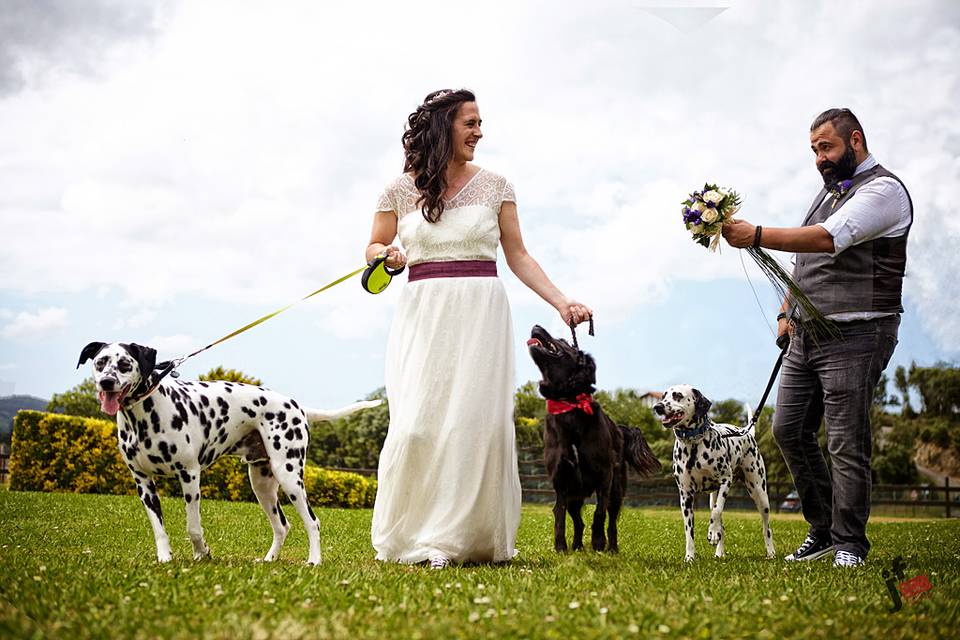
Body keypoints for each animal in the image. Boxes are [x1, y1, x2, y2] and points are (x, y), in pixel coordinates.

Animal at [78, 340, 378, 564]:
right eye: (100, 362)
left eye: (124, 364)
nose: (106, 382)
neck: (145, 415)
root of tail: (298, 406)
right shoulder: (143, 484)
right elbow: (158, 528)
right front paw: (165, 558)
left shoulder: (190, 476)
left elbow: (193, 527)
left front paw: (202, 553)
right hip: (262, 485)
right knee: (282, 525)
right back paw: (269, 560)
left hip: (289, 475)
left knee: (312, 522)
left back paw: (314, 561)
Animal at [524, 324, 660, 552]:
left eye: (563, 340)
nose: (535, 326)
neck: (569, 403)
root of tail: (620, 429)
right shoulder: (561, 481)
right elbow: (559, 516)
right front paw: (561, 548)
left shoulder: (604, 475)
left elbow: (599, 513)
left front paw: (598, 543)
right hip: (575, 495)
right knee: (578, 522)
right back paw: (577, 546)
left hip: (617, 490)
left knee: (611, 520)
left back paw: (611, 548)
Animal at [648, 384, 776, 560]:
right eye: (663, 396)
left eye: (678, 395)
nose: (657, 407)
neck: (694, 445)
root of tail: (747, 433)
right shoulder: (686, 496)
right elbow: (689, 532)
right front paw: (689, 557)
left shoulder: (725, 481)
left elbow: (716, 511)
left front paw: (712, 533)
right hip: (715, 497)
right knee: (723, 525)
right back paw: (719, 553)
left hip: (760, 494)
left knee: (766, 527)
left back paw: (770, 552)